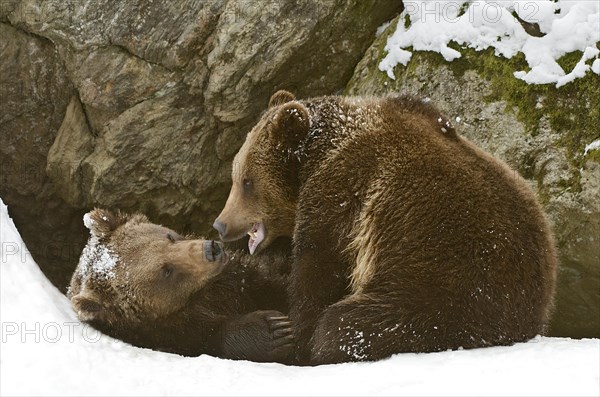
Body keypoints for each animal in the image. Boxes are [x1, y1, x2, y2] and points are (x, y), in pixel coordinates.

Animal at [69, 210, 294, 362]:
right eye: (166, 271)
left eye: (169, 236)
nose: (212, 250)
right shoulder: (179, 334)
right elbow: (213, 337)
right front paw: (275, 328)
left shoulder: (241, 279)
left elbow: (272, 282)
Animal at [213, 90, 560, 366]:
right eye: (237, 176)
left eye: (247, 181)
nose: (220, 224)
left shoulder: (340, 195)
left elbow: (320, 268)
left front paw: (297, 336)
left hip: (438, 290)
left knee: (346, 326)